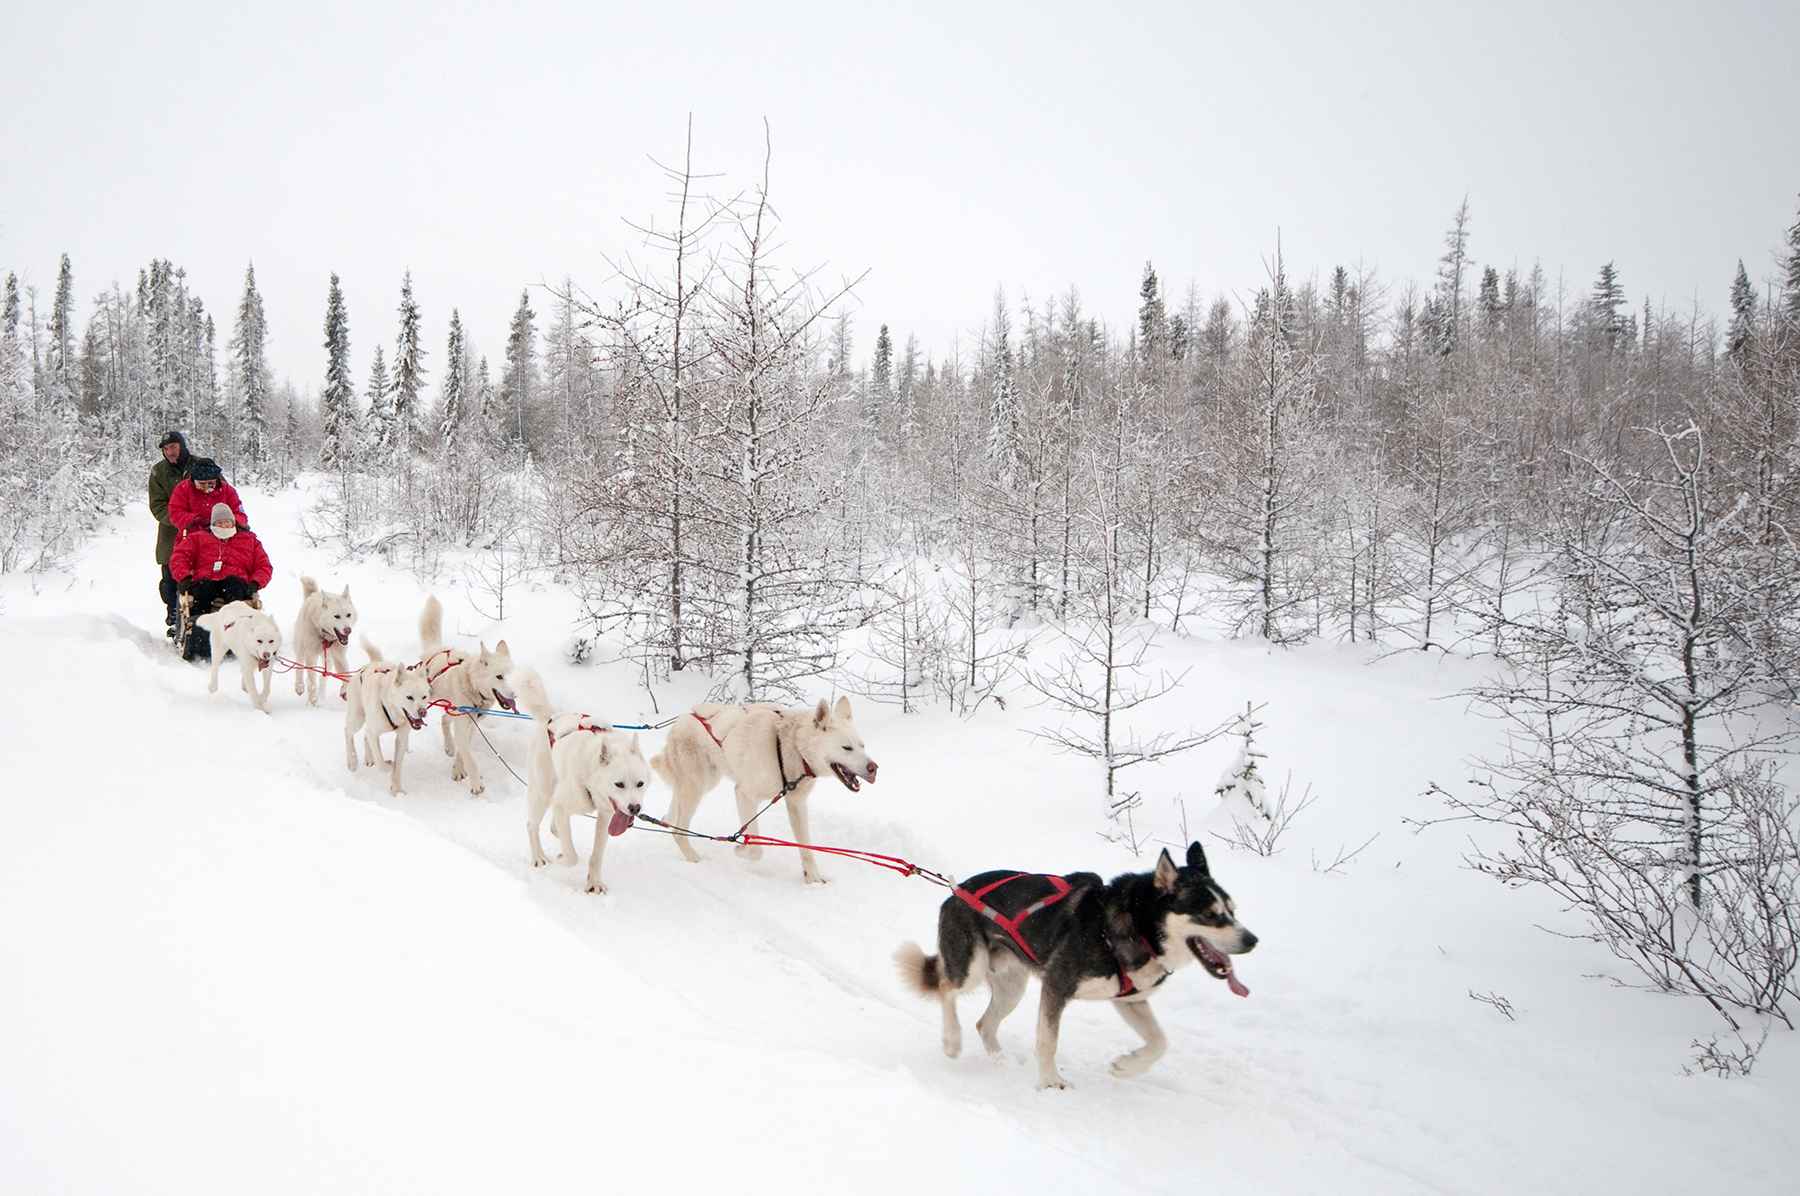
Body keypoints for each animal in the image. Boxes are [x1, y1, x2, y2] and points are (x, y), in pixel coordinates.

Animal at [288, 576, 354, 706]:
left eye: (348, 615)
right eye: (337, 616)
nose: (348, 630)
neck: (324, 635)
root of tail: (313, 594)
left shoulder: (339, 655)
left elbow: (346, 673)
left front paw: (345, 690)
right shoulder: (311, 655)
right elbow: (312, 681)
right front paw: (313, 700)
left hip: (328, 660)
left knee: (323, 678)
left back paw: (321, 696)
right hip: (301, 647)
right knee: (299, 665)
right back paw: (300, 686)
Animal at [347, 641, 439, 799]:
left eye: (424, 697)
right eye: (409, 697)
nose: (422, 712)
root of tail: (371, 664)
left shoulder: (401, 738)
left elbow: (397, 767)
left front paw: (397, 790)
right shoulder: (374, 733)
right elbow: (381, 763)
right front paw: (387, 765)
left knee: (365, 735)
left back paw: (368, 758)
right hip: (357, 718)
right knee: (348, 732)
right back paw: (352, 761)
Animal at [412, 594, 514, 792]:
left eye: (513, 676)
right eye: (499, 676)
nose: (514, 695)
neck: (473, 689)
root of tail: (435, 649)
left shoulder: (471, 725)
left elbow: (463, 750)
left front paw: (458, 769)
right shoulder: (463, 724)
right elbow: (470, 757)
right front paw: (475, 784)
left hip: (452, 709)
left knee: (445, 720)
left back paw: (449, 747)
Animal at [525, 702, 655, 897]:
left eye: (640, 783)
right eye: (619, 784)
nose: (635, 808)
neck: (590, 781)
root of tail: (551, 717)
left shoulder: (605, 816)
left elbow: (597, 855)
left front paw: (594, 883)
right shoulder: (561, 804)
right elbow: (572, 856)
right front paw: (561, 860)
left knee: (555, 827)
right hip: (543, 793)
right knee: (532, 825)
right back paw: (539, 857)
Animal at [651, 695, 874, 882]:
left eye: (862, 746)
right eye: (847, 748)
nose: (874, 768)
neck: (790, 747)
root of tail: (682, 719)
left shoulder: (796, 803)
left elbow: (806, 848)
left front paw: (813, 879)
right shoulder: (744, 794)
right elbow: (756, 848)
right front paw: (739, 849)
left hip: (701, 783)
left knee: (674, 811)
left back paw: (666, 821)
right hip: (697, 786)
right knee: (679, 830)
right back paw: (693, 857)